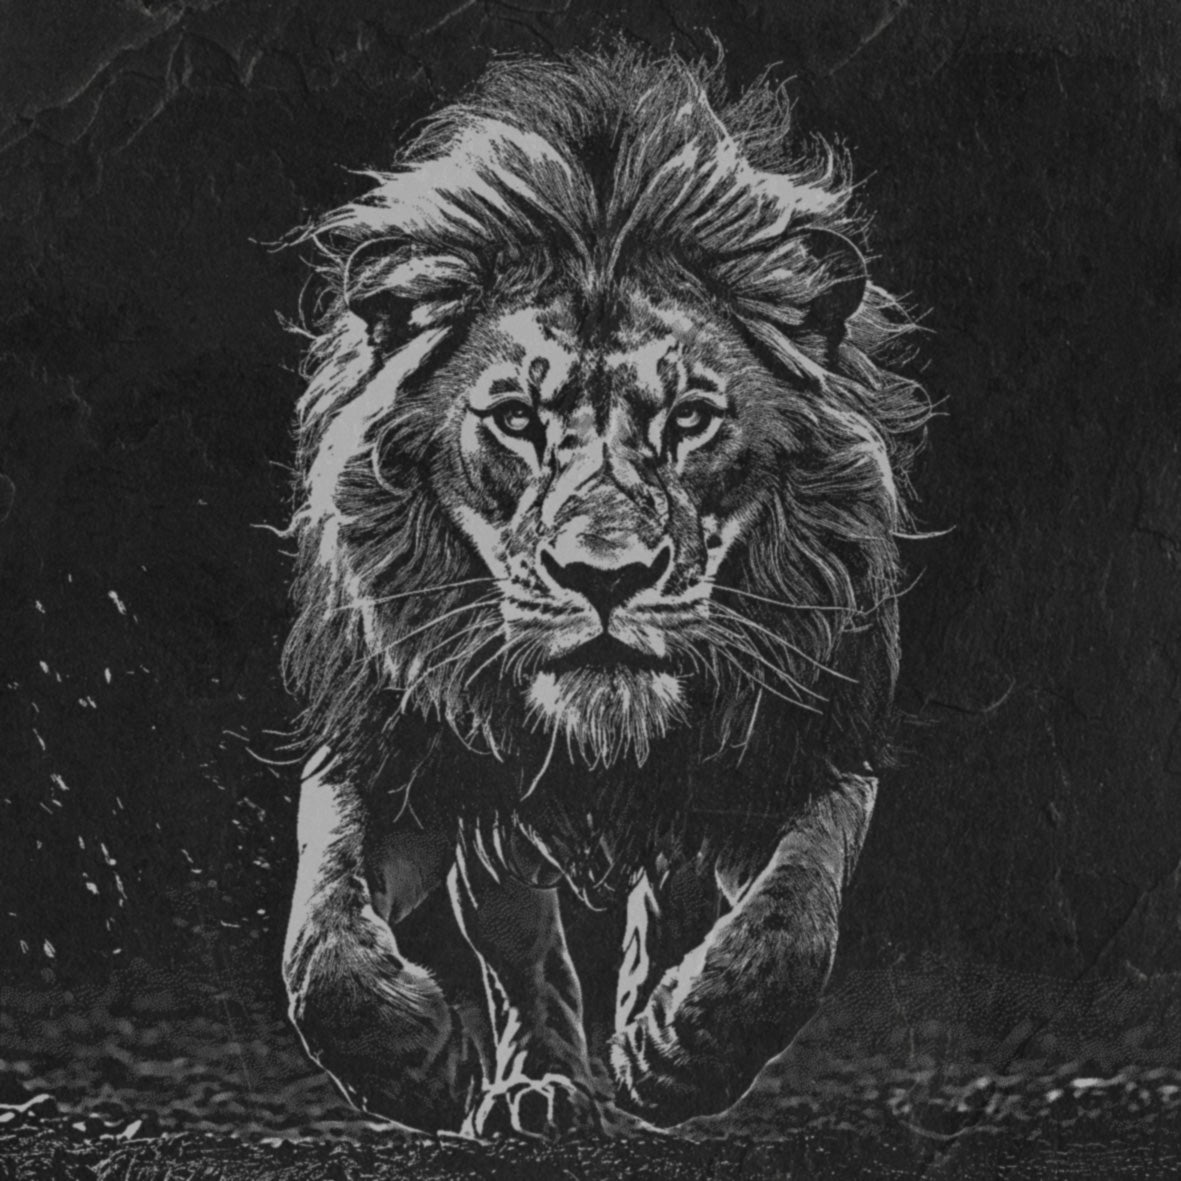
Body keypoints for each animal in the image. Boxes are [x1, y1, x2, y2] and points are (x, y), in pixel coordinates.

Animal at [280, 48, 927, 1139]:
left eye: (691, 420)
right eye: (515, 418)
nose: (604, 575)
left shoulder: (813, 748)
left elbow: (789, 927)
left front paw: (683, 1055)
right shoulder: (392, 751)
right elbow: (320, 947)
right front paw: (416, 1069)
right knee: (520, 951)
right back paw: (537, 1087)